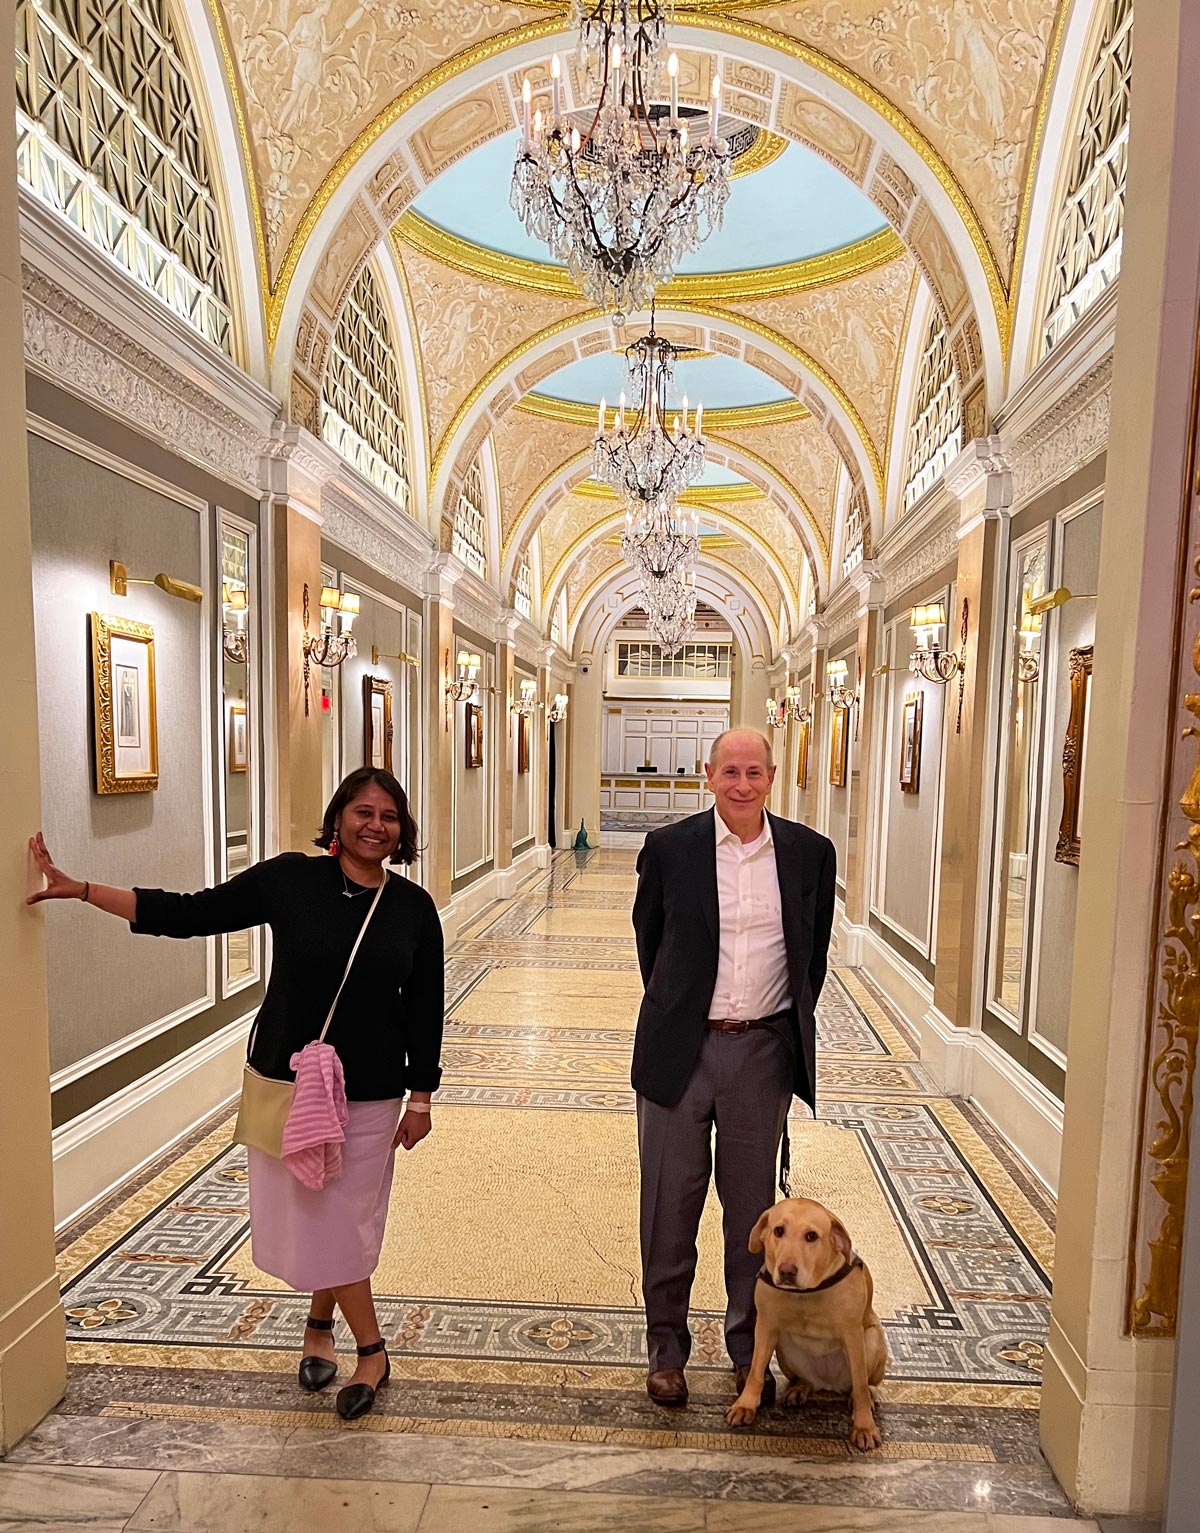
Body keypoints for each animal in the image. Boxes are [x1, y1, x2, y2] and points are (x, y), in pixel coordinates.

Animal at [726, 1195, 888, 1447]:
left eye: (811, 1236)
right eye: (778, 1231)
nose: (787, 1271)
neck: (806, 1293)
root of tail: (829, 1384)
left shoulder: (852, 1335)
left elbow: (861, 1384)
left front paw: (864, 1426)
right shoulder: (765, 1326)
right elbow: (755, 1373)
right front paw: (745, 1405)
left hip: (872, 1340)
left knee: (859, 1385)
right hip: (783, 1347)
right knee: (805, 1379)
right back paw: (799, 1389)